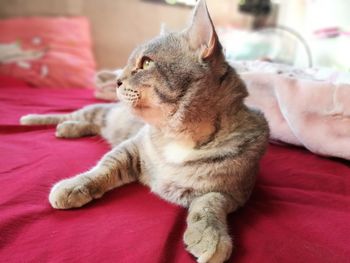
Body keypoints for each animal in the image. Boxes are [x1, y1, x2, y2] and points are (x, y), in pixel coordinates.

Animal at [20, 1, 270, 262]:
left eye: (146, 63)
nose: (117, 80)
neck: (178, 136)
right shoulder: (132, 147)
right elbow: (102, 169)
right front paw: (74, 186)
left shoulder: (235, 193)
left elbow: (210, 202)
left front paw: (210, 233)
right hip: (97, 112)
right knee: (74, 115)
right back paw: (38, 120)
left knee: (91, 125)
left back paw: (69, 128)